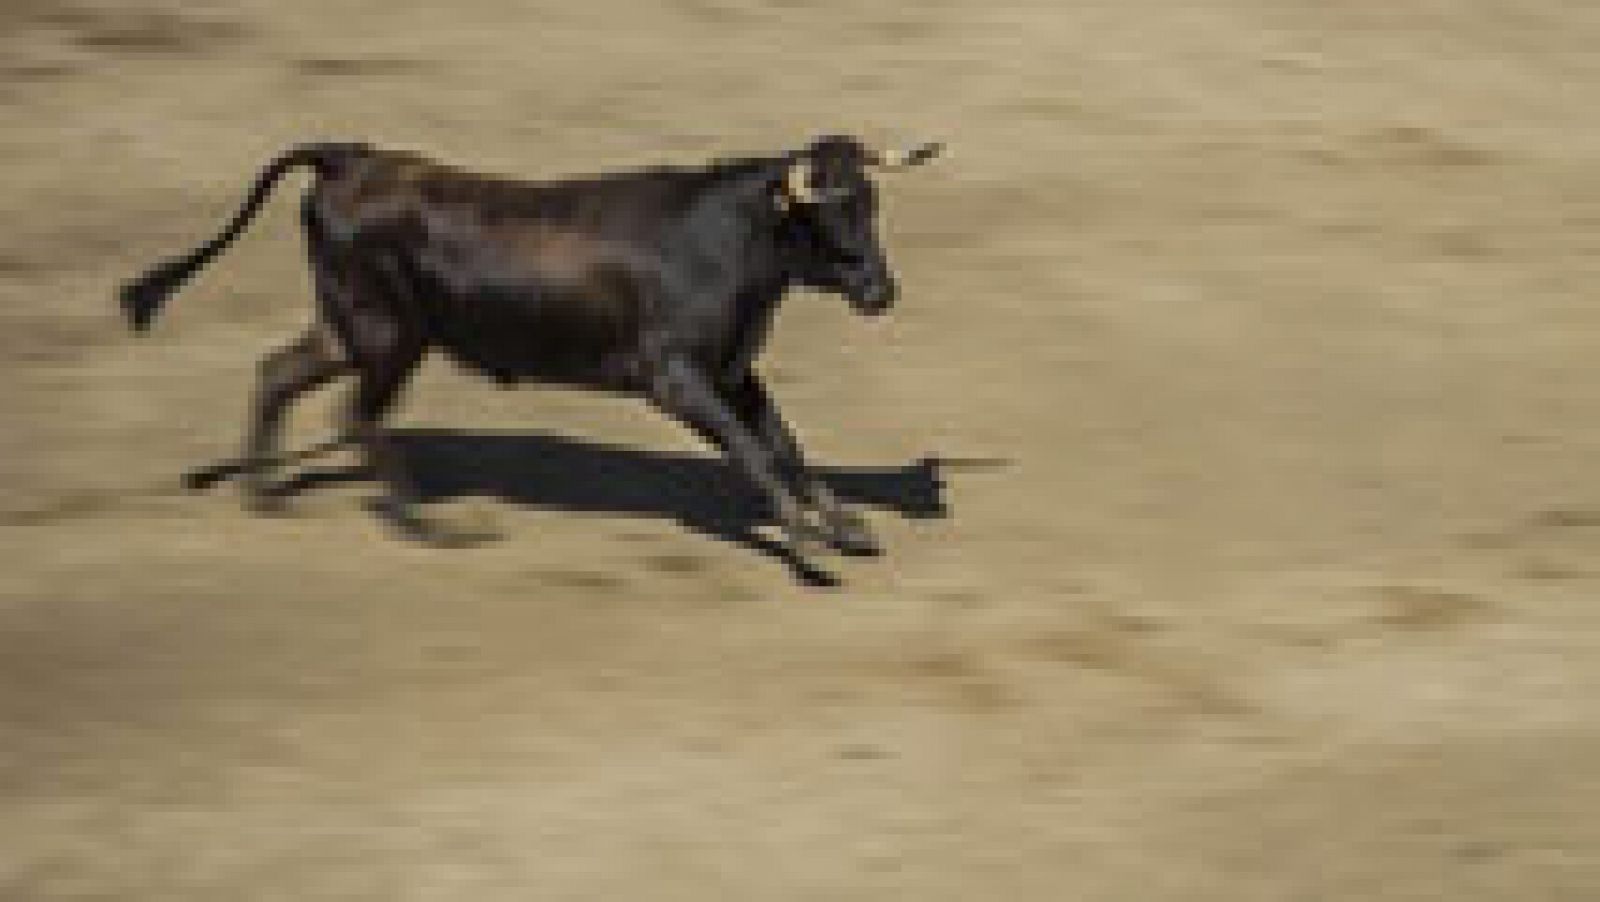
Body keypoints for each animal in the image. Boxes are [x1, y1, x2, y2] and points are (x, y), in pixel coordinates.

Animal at [118, 135, 942, 574]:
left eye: (872, 204)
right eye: (829, 213)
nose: (882, 291)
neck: (729, 243)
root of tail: (346, 158)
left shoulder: (734, 371)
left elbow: (786, 443)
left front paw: (846, 526)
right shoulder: (676, 379)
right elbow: (751, 449)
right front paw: (804, 540)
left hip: (351, 329)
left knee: (278, 374)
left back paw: (264, 494)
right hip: (389, 336)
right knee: (357, 415)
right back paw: (431, 527)